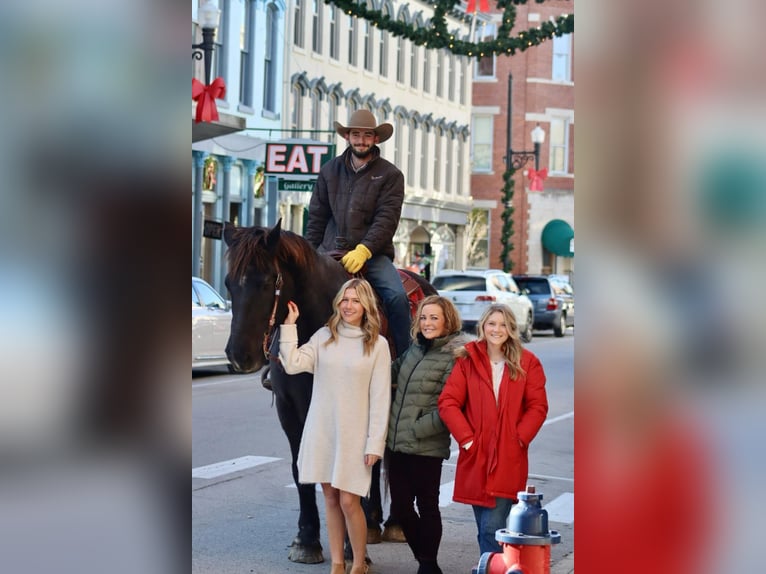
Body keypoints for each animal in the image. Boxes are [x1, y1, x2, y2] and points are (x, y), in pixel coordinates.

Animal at [225, 222, 436, 568]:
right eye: (229, 283)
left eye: (267, 282)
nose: (239, 355)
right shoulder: (290, 411)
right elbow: (300, 469)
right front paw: (307, 540)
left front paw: (352, 550)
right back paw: (372, 522)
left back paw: (393, 523)